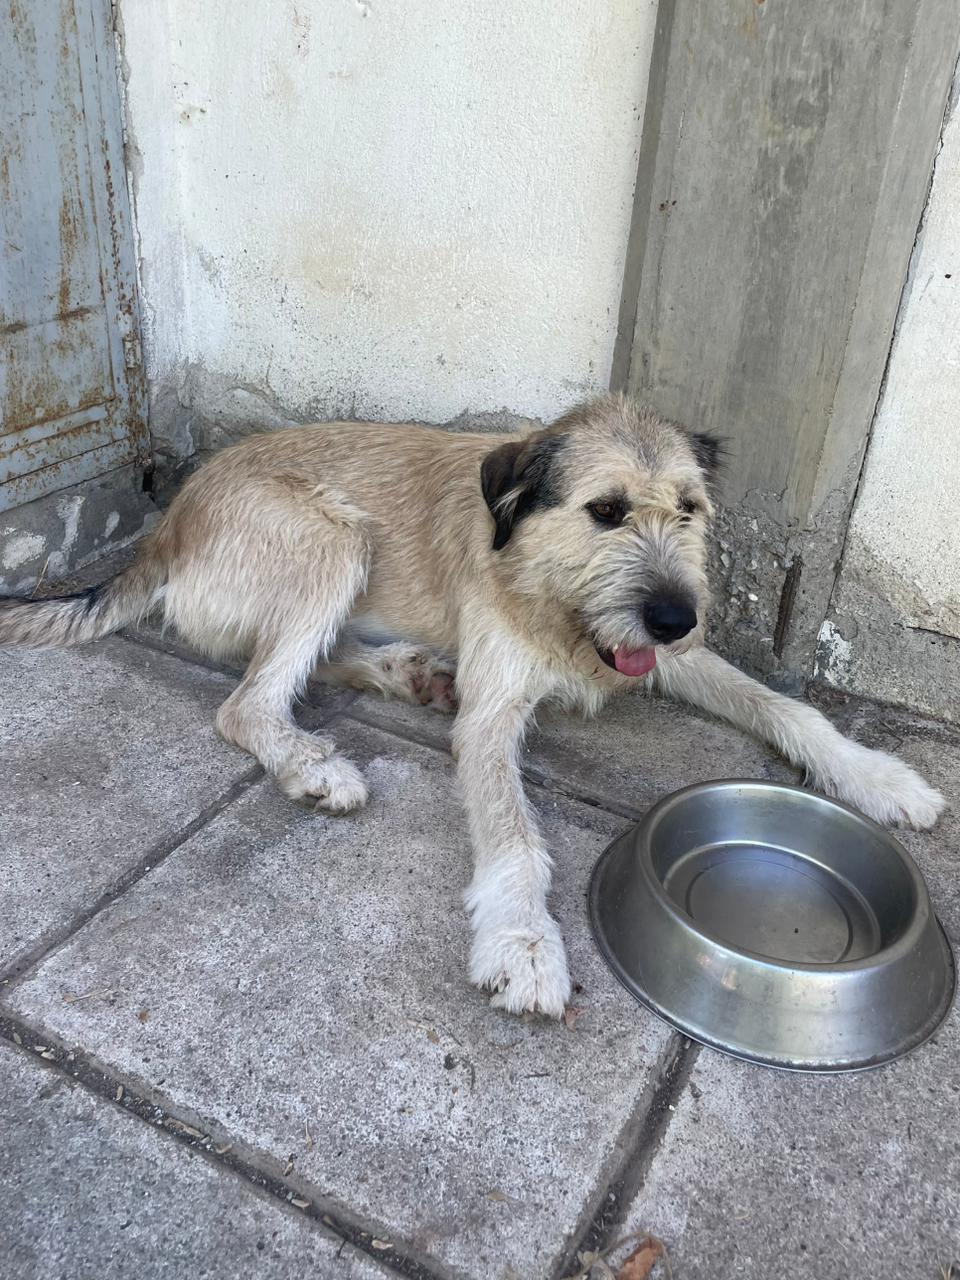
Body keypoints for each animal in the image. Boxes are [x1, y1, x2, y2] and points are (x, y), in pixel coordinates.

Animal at [0, 394, 944, 1016]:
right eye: (606, 510)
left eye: (689, 510)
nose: (678, 617)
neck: (544, 583)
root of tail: (167, 525)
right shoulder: (492, 718)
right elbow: (516, 839)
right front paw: (522, 943)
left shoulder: (658, 659)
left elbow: (785, 707)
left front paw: (878, 777)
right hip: (333, 538)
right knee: (247, 701)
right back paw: (314, 763)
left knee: (301, 665)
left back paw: (407, 675)